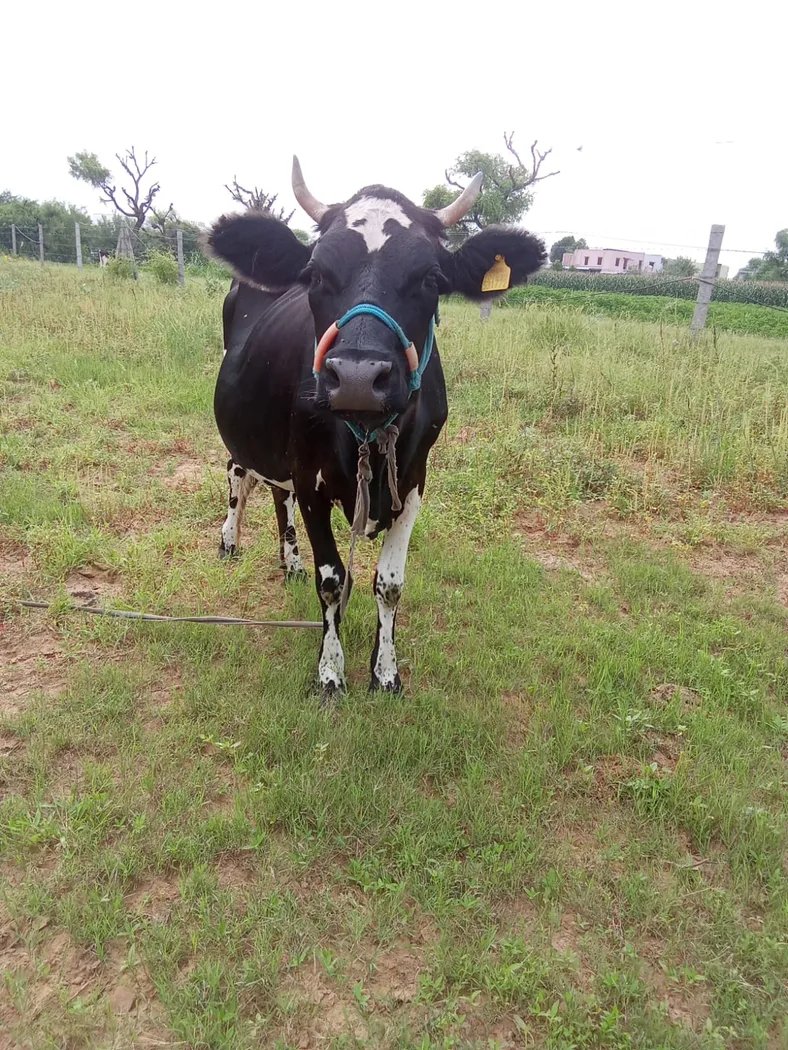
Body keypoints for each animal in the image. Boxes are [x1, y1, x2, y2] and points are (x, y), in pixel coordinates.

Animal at [207, 158, 546, 698]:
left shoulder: (414, 482)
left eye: (431, 277)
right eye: (316, 274)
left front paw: (385, 671)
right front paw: (330, 670)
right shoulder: (311, 479)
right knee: (239, 475)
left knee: (277, 493)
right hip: (246, 432)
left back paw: (290, 561)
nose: (358, 378)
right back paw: (230, 540)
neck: (366, 437)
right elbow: (332, 580)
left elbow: (389, 584)